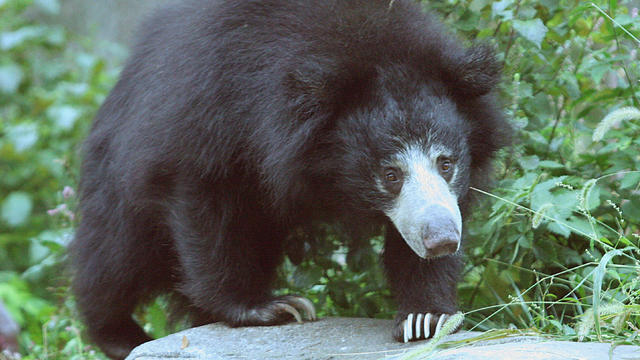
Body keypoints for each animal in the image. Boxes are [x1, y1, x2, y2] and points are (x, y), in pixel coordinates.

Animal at [70, 1, 508, 358]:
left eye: (446, 163)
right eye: (390, 174)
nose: (442, 240)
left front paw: (426, 317)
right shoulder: (209, 118)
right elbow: (207, 212)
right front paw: (271, 307)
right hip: (116, 169)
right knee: (117, 253)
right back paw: (119, 334)